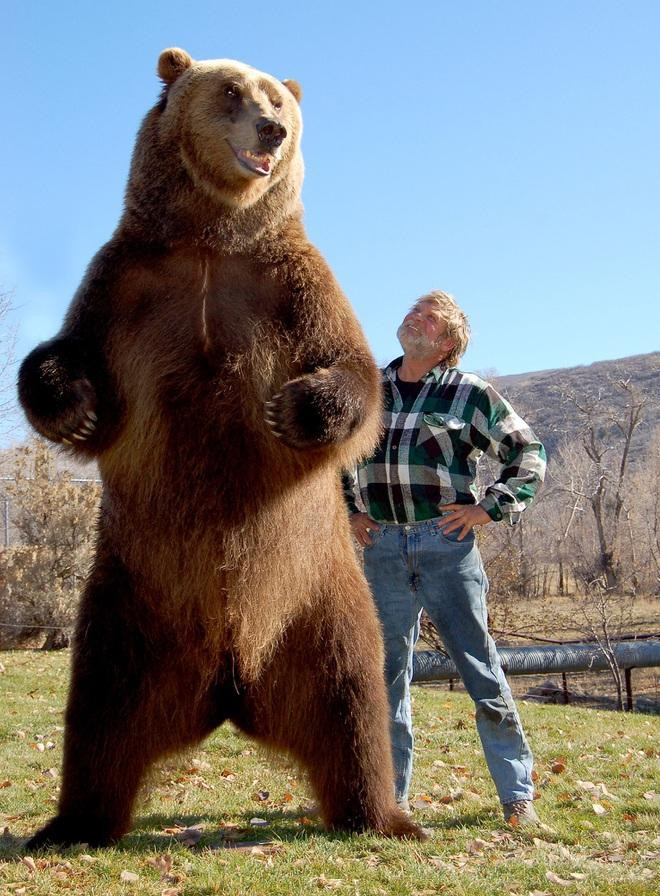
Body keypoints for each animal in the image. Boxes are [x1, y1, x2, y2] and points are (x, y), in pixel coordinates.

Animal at [18, 49, 425, 848]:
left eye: (279, 101)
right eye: (232, 91)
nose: (272, 129)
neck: (213, 239)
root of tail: (232, 685)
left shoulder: (291, 285)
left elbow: (353, 373)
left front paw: (294, 409)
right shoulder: (129, 284)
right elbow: (71, 354)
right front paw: (74, 407)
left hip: (317, 599)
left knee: (354, 701)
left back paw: (384, 816)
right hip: (131, 605)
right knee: (99, 716)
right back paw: (72, 823)